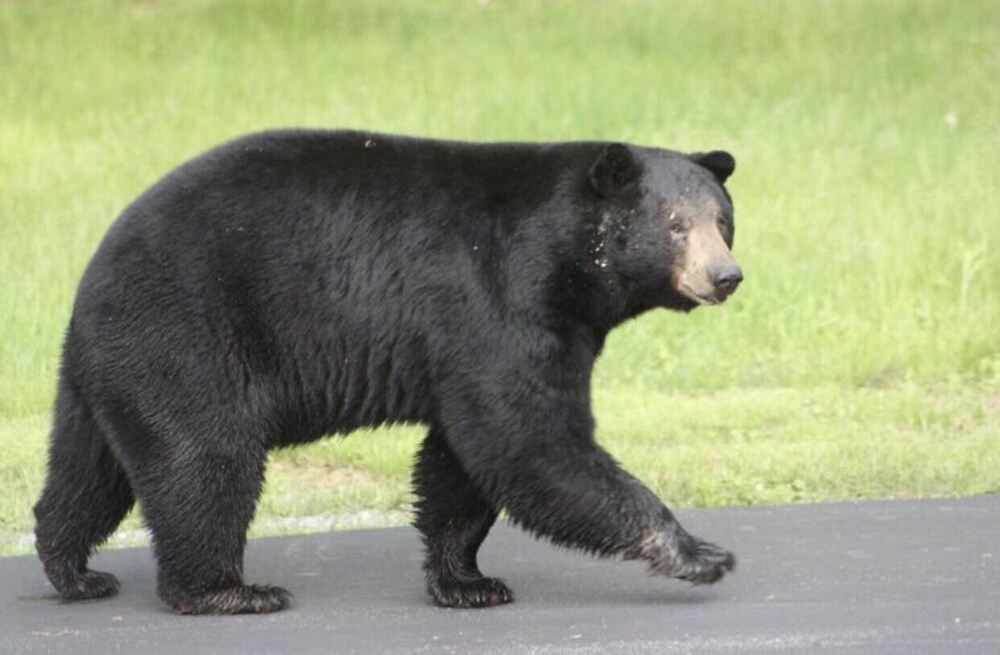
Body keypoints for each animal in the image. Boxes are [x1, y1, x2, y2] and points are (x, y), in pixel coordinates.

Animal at [33, 132, 744, 616]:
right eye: (675, 225)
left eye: (723, 220)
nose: (725, 276)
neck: (568, 262)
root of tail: (94, 269)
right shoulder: (501, 300)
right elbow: (527, 441)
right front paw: (698, 552)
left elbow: (461, 461)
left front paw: (467, 580)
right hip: (187, 336)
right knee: (204, 461)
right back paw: (226, 590)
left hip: (108, 367)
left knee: (88, 469)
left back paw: (72, 568)